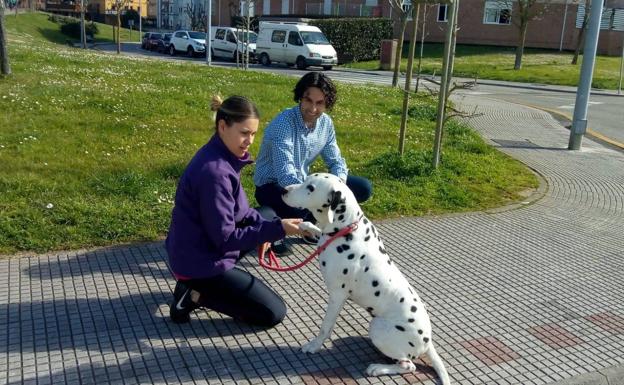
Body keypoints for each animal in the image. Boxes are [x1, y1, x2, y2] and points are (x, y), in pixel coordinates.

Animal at [282, 173, 448, 380]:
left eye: (311, 188)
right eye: (305, 180)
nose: (283, 190)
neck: (347, 227)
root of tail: (428, 341)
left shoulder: (337, 295)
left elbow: (325, 327)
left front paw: (314, 345)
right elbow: (318, 230)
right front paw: (306, 225)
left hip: (377, 327)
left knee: (408, 366)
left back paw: (378, 368)